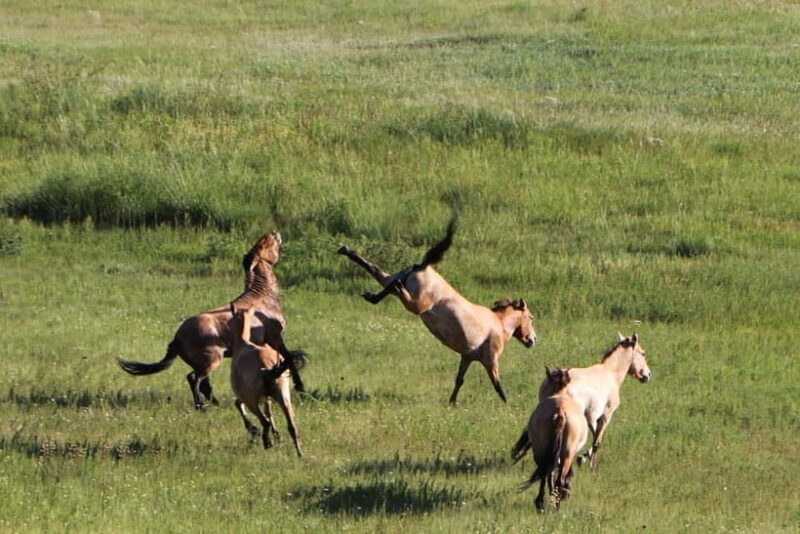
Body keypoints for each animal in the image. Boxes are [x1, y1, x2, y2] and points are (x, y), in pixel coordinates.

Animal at [117, 232, 307, 410]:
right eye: (262, 245)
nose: (274, 233)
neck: (261, 298)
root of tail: (177, 338)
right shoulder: (274, 337)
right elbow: (289, 357)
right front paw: (300, 388)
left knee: (203, 384)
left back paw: (215, 403)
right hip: (211, 361)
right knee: (194, 379)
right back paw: (201, 406)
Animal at [228, 304, 303, 457]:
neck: (243, 344)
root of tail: (268, 367)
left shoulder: (245, 396)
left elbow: (238, 404)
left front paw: (253, 429)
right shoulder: (267, 398)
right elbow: (270, 413)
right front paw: (277, 435)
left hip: (252, 401)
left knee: (265, 421)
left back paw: (266, 442)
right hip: (284, 398)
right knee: (292, 427)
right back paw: (300, 454)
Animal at [337, 217, 536, 404]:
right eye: (531, 317)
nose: (532, 340)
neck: (499, 324)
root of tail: (422, 266)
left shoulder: (467, 357)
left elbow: (459, 380)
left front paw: (452, 402)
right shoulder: (491, 360)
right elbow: (498, 386)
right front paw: (507, 405)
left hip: (391, 279)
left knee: (377, 271)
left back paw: (349, 256)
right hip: (415, 304)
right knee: (397, 287)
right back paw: (374, 292)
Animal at [511, 366, 588, 512]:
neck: (560, 394)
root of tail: (560, 412)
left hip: (543, 450)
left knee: (546, 472)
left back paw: (543, 502)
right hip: (565, 453)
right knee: (554, 476)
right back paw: (553, 504)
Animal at [537, 333, 651, 468]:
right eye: (643, 353)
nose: (648, 375)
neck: (610, 373)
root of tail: (554, 379)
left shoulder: (591, 418)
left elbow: (596, 435)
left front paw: (585, 457)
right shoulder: (606, 415)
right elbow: (597, 440)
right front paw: (588, 462)